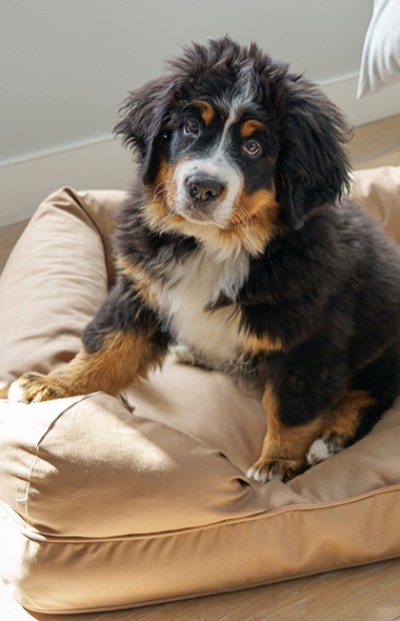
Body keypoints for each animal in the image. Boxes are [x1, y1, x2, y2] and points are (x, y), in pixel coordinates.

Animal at [4, 37, 400, 484]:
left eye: (253, 147)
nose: (203, 187)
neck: (213, 245)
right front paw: (52, 386)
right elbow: (105, 344)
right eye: (191, 128)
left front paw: (277, 464)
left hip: (382, 344)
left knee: (374, 392)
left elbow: (290, 409)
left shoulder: (310, 339)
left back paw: (332, 438)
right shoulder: (142, 290)